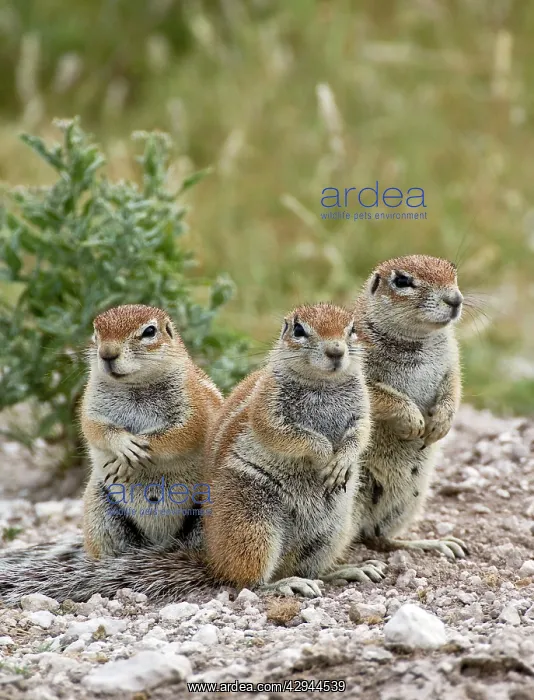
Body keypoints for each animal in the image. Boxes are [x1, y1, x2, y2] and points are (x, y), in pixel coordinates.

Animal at [0, 303, 386, 604]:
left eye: (352, 329)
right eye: (300, 330)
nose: (336, 352)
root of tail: (207, 557)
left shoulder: (362, 411)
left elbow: (360, 435)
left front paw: (340, 458)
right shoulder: (268, 408)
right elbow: (284, 434)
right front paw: (321, 449)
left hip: (333, 529)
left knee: (311, 566)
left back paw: (348, 569)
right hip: (250, 524)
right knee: (245, 581)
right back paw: (283, 584)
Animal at [351, 255, 467, 560]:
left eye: (453, 271)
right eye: (402, 281)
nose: (455, 299)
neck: (419, 339)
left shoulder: (452, 363)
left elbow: (453, 387)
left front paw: (441, 423)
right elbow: (380, 396)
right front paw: (413, 421)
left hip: (409, 500)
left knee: (379, 538)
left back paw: (435, 543)